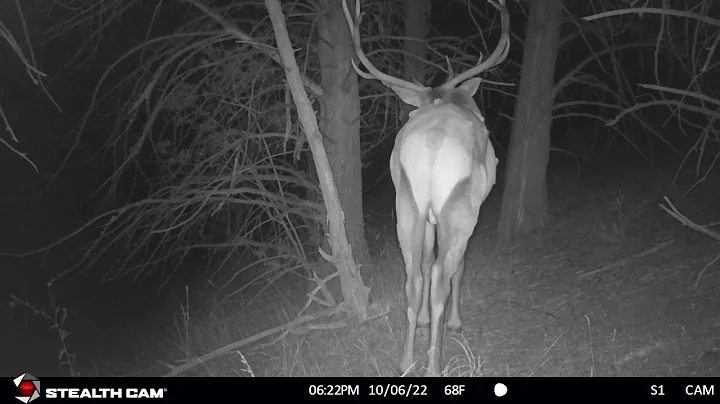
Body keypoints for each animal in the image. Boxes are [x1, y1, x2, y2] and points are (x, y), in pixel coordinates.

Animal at [342, 0, 510, 376]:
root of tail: (434, 141)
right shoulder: (469, 210)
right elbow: (458, 266)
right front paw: (455, 323)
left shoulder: (426, 214)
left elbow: (426, 258)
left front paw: (419, 324)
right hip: (458, 206)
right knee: (440, 277)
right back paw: (434, 362)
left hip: (408, 201)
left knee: (415, 275)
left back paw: (406, 359)